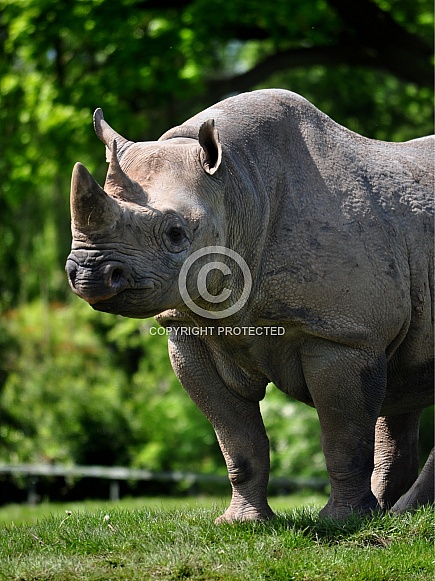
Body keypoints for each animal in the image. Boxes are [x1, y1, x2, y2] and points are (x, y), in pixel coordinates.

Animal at [65, 88, 435, 520]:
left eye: (175, 233)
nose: (90, 274)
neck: (236, 186)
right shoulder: (191, 330)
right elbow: (237, 441)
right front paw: (241, 522)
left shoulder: (344, 333)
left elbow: (343, 437)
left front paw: (342, 521)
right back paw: (396, 511)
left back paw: (396, 512)